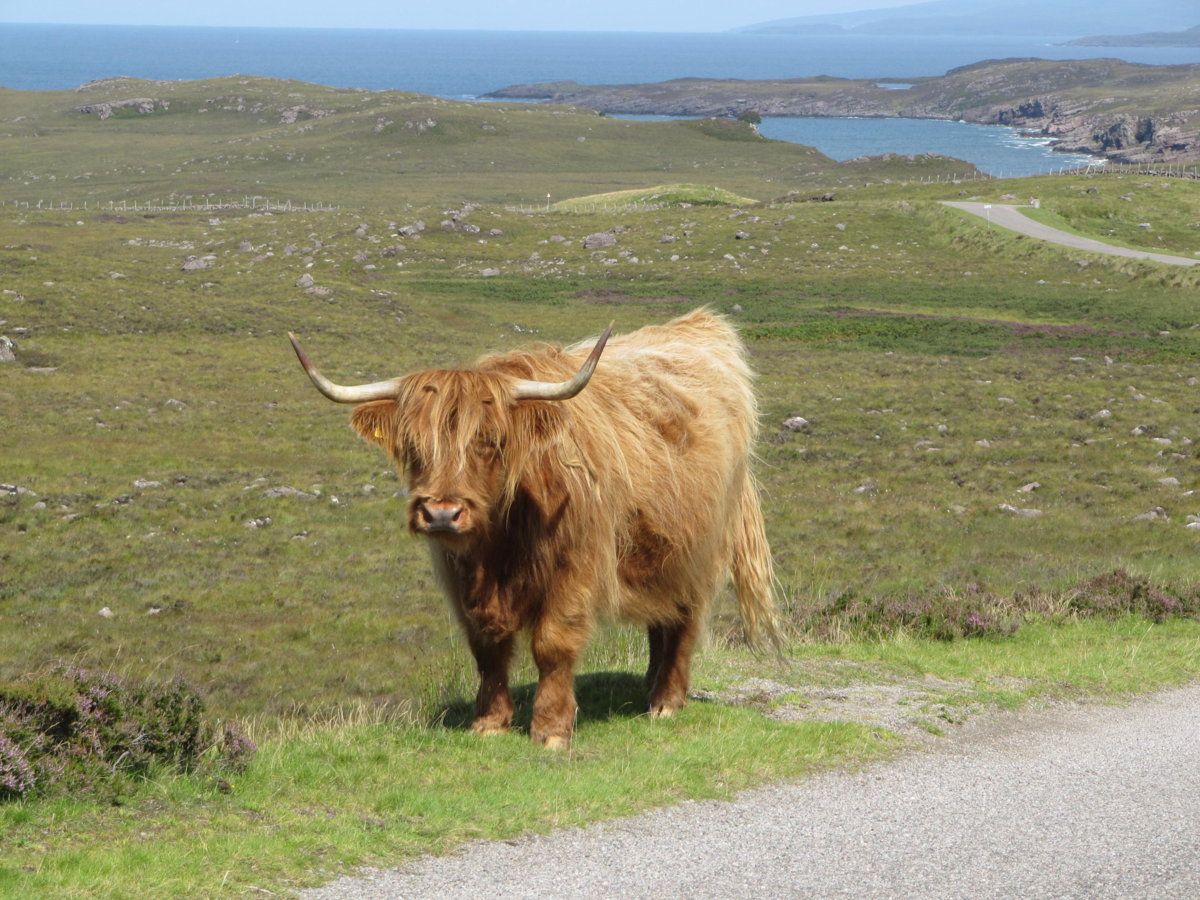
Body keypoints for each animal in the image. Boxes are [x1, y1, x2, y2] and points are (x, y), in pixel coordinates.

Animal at [289, 309, 777, 748]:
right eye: (413, 446)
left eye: (489, 442)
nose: (442, 514)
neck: (499, 545)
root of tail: (700, 326)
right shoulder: (462, 580)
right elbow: (486, 648)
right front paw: (489, 723)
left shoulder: (574, 573)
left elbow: (552, 645)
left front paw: (551, 730)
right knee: (663, 617)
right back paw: (649, 684)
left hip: (701, 552)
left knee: (685, 619)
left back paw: (666, 701)